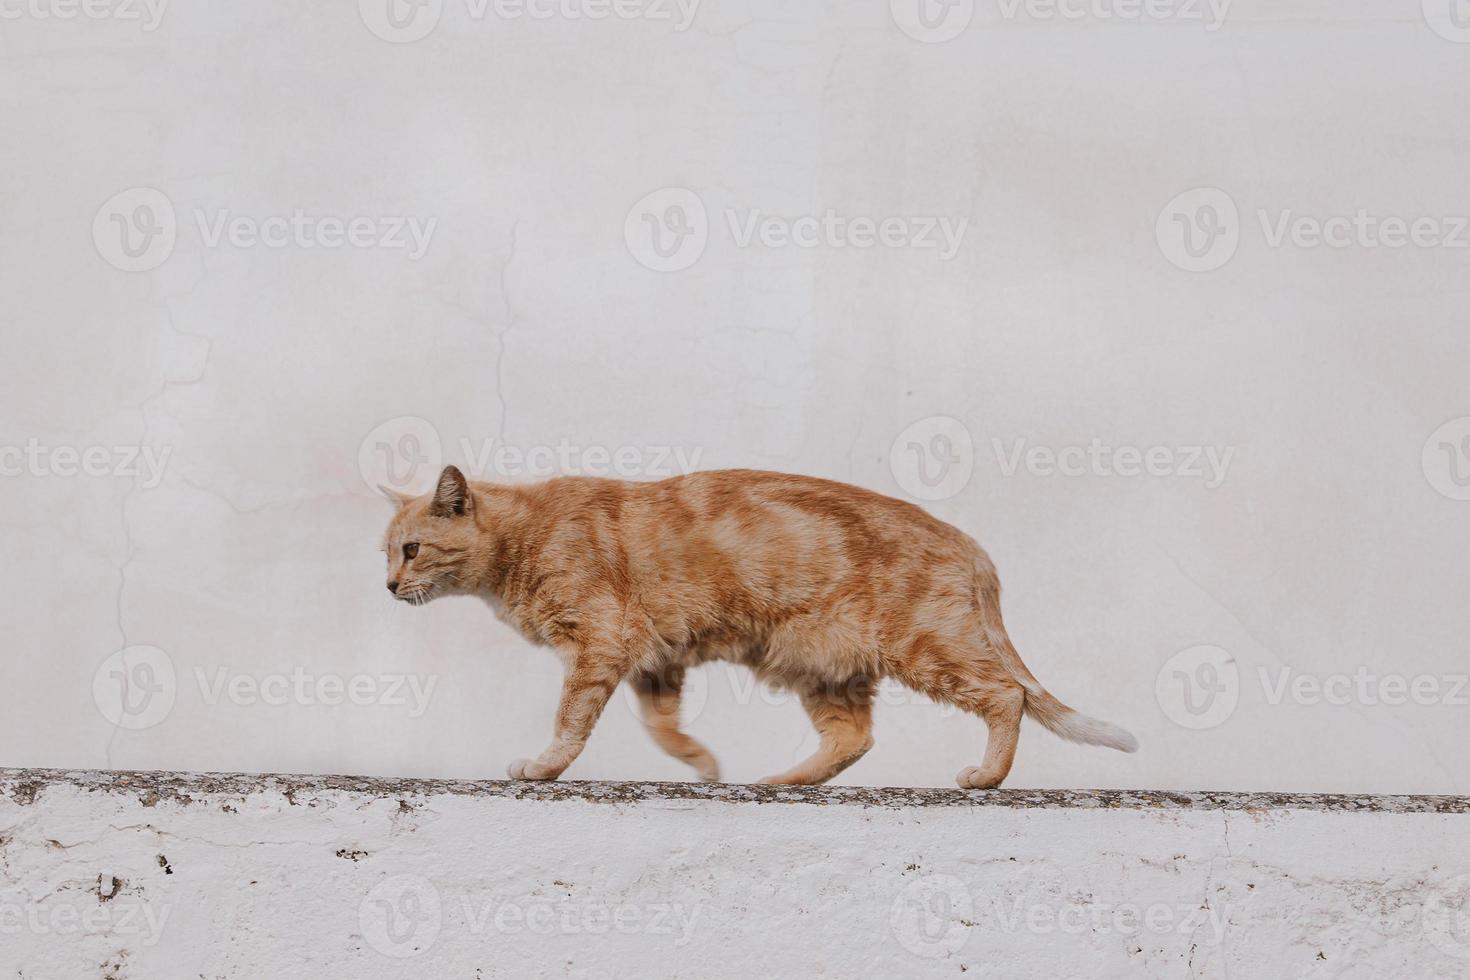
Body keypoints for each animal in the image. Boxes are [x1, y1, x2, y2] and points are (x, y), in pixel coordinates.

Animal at [382, 467, 1134, 787]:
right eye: (386, 552)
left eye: (411, 549)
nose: (387, 586)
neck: (525, 537)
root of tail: (970, 541)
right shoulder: (654, 660)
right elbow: (663, 728)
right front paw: (705, 766)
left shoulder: (600, 645)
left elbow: (569, 723)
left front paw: (542, 767)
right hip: (820, 667)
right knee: (854, 739)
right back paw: (782, 782)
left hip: (927, 648)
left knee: (1006, 695)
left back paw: (987, 777)